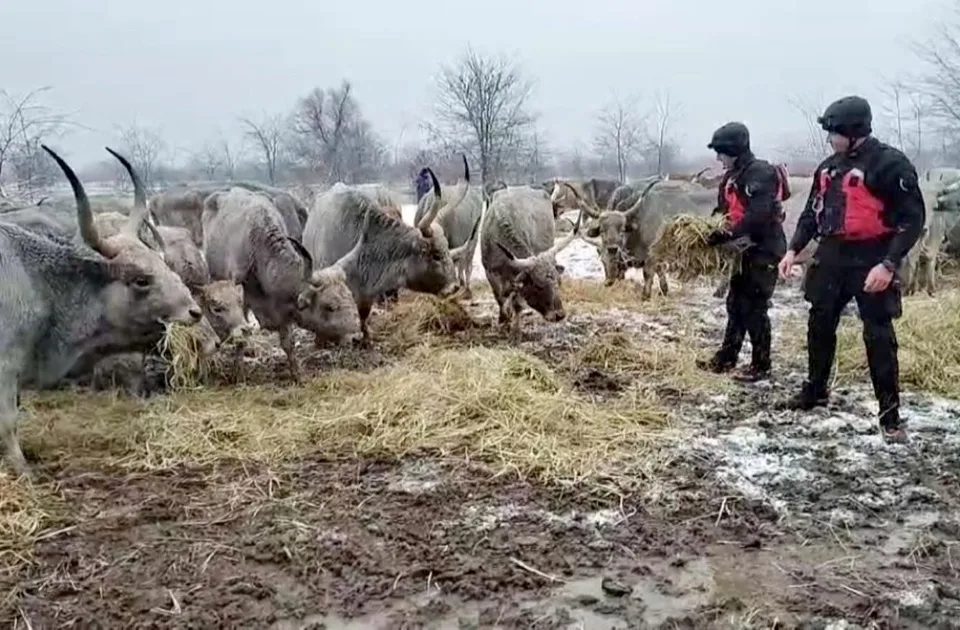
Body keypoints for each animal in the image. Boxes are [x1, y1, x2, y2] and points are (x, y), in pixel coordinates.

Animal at [202, 185, 360, 378]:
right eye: (329, 306)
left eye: (350, 297)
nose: (356, 337)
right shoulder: (241, 301)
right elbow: (241, 335)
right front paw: (237, 372)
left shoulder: (283, 311)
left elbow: (288, 343)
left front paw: (297, 373)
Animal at [480, 184, 584, 336]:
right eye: (538, 285)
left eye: (559, 282)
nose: (559, 315)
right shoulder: (490, 274)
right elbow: (500, 299)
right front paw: (503, 323)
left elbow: (516, 304)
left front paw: (516, 331)